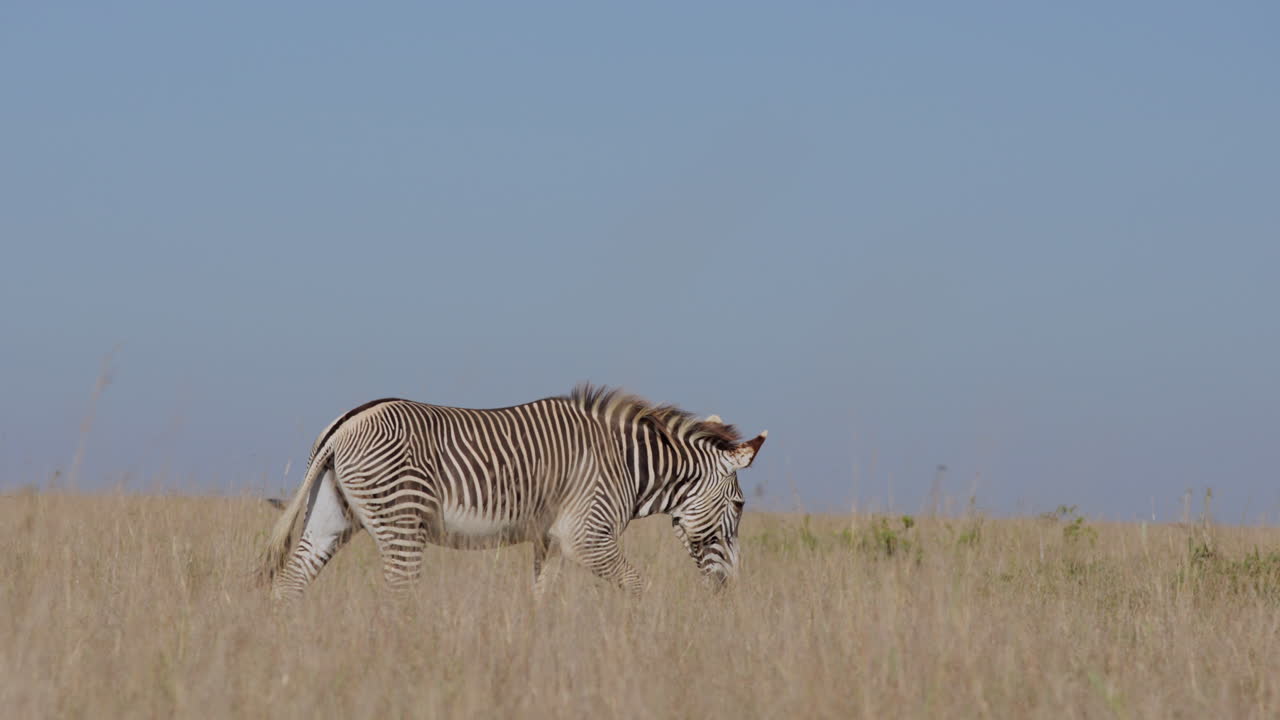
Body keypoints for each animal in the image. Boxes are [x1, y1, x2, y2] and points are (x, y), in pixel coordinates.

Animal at [259, 384, 767, 600]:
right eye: (740, 505)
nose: (729, 588)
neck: (627, 465)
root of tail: (345, 424)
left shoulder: (553, 540)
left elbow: (541, 598)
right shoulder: (588, 537)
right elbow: (639, 585)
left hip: (331, 518)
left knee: (290, 583)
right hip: (402, 522)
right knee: (398, 594)